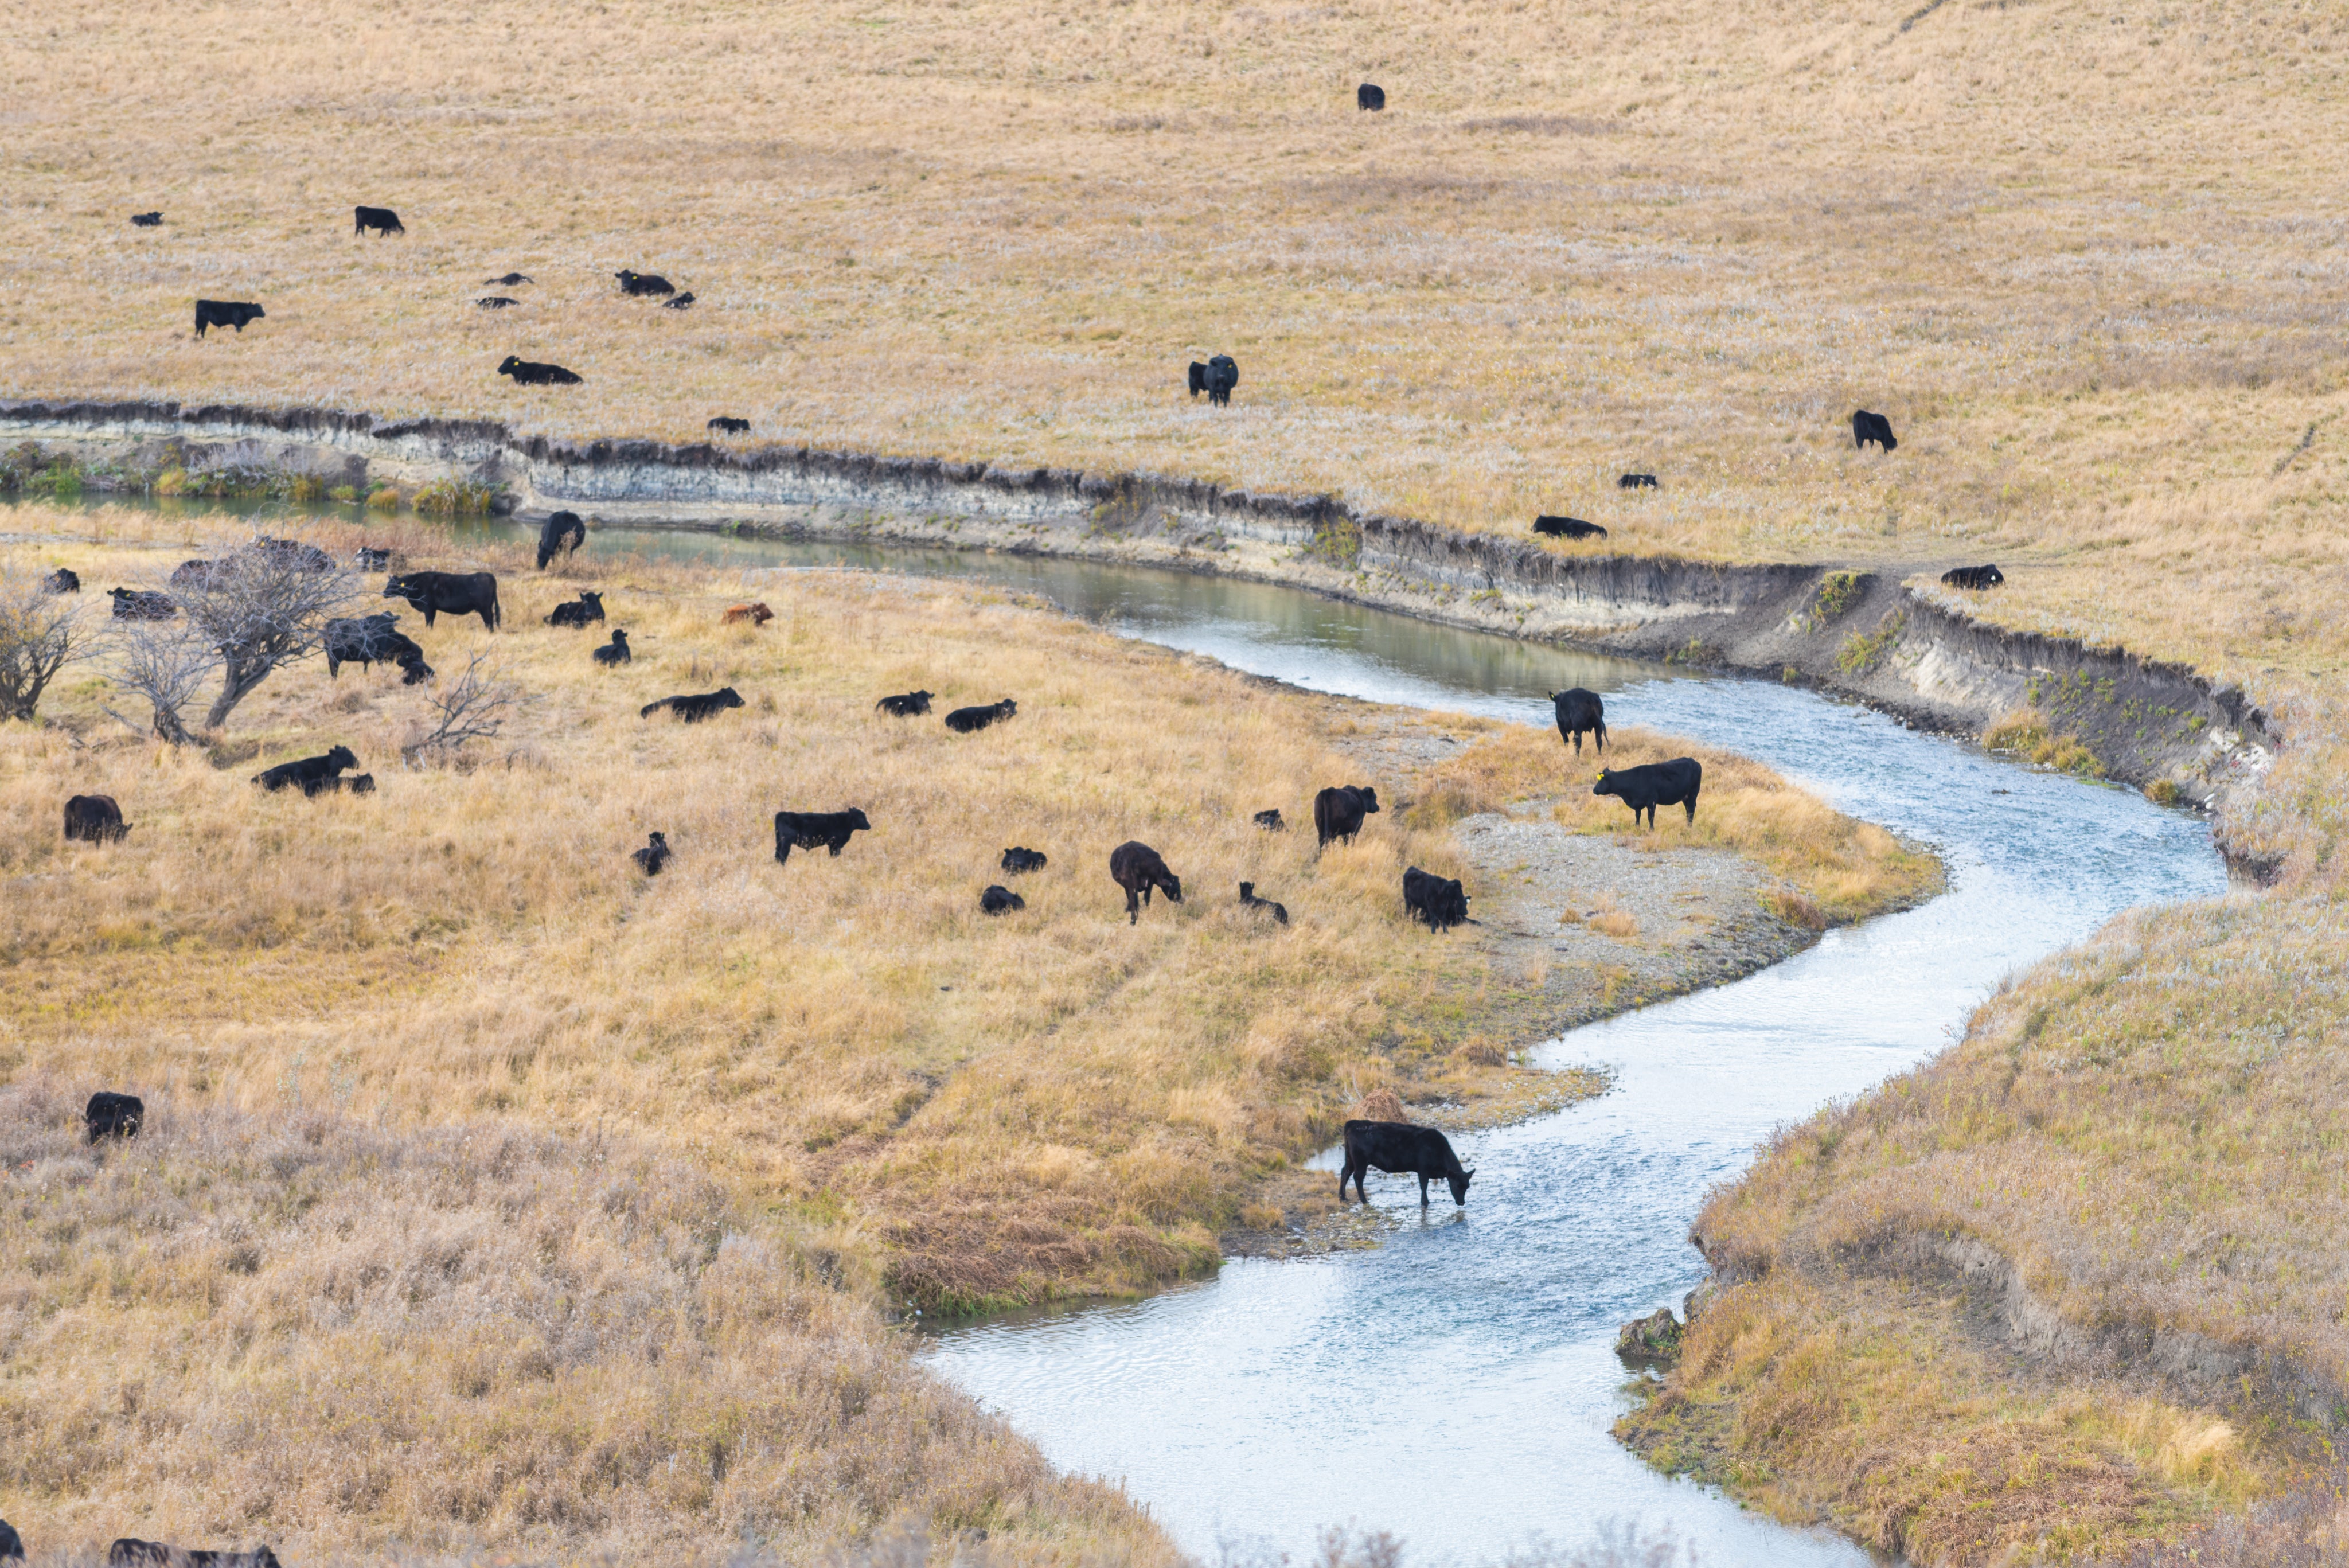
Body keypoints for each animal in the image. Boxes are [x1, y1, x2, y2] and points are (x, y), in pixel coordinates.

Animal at [384, 570, 500, 629]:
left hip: (484, 608)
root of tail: (488, 574)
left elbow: (429, 622)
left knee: (489, 620)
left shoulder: (428, 608)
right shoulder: (433, 609)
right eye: (388, 583)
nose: (384, 593)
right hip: (489, 606)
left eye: (394, 585)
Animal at [774, 808, 872, 865]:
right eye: (861, 817)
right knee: (783, 853)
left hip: (779, 841)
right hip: (786, 842)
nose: (869, 826)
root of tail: (783, 813)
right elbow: (835, 855)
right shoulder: (835, 845)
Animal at [1109, 841, 1182, 925]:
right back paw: (1133, 920)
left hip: (1128, 884)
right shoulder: (1150, 882)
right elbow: (1147, 897)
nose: (1180, 899)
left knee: (1132, 898)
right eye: (1178, 886)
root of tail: (1131, 854)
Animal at [1338, 1119, 1474, 1206]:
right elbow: (1424, 1185)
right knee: (1358, 1177)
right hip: (1361, 1161)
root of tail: (1353, 1123)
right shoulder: (1423, 1170)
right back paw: (1364, 1201)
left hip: (1350, 1159)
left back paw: (1342, 1197)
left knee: (1345, 1172)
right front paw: (1425, 1202)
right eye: (1457, 1186)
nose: (1462, 1203)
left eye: (1467, 1187)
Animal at [1593, 757, 1703, 829]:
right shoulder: (1637, 803)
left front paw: (1651, 830)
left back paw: (1689, 826)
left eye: (1600, 781)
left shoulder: (1651, 802)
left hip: (1693, 793)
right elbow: (1638, 815)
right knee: (1688, 810)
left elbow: (1650, 817)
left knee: (1691, 809)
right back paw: (1687, 824)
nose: (1594, 790)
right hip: (1685, 797)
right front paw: (1637, 827)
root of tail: (1693, 761)